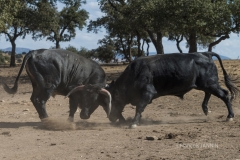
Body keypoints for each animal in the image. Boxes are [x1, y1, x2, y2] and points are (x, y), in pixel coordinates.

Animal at [106, 53, 238, 128]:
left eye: (114, 100)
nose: (110, 118)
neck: (135, 73)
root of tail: (206, 54)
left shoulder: (148, 93)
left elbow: (139, 107)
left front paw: (134, 123)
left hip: (210, 83)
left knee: (225, 95)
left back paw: (230, 116)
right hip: (206, 84)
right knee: (209, 93)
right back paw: (205, 109)